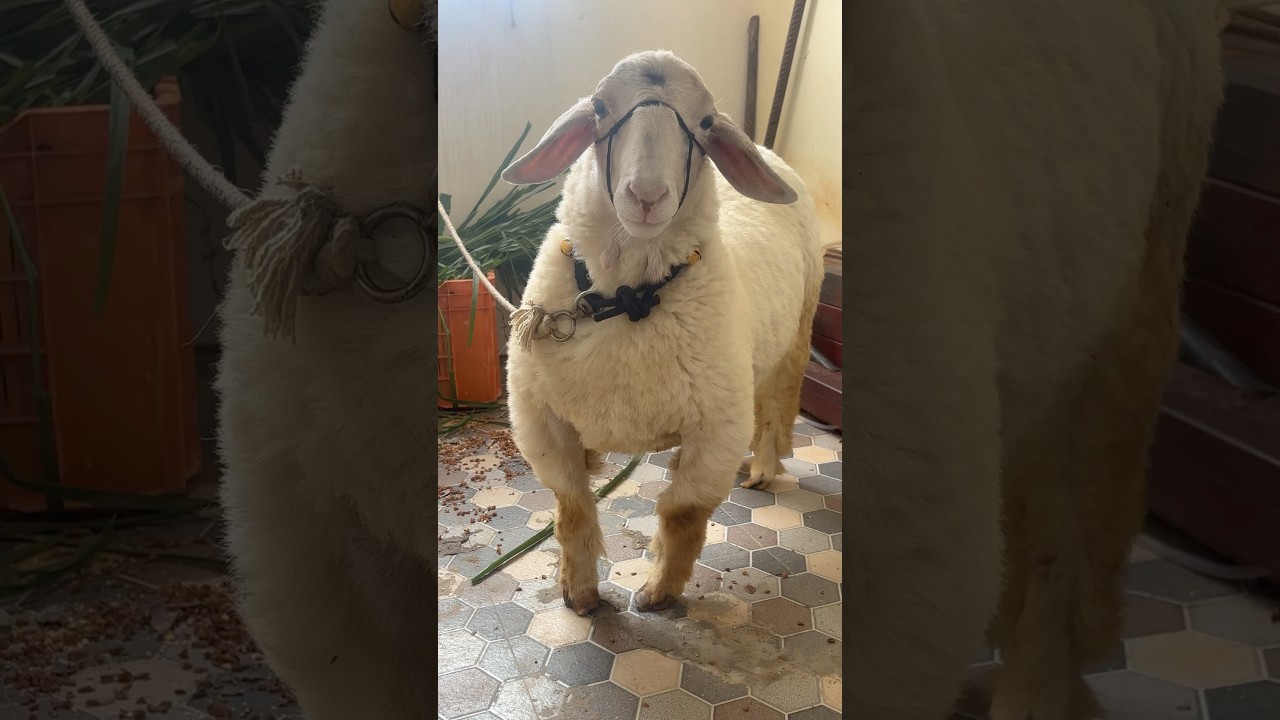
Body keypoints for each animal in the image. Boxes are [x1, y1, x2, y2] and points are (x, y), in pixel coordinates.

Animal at [499, 50, 827, 614]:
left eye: (706, 122)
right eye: (600, 109)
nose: (646, 195)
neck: (629, 300)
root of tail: (769, 150)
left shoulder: (715, 430)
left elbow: (682, 512)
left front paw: (658, 592)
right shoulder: (541, 422)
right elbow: (572, 503)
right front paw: (580, 594)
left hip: (796, 337)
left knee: (776, 408)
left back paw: (763, 467)